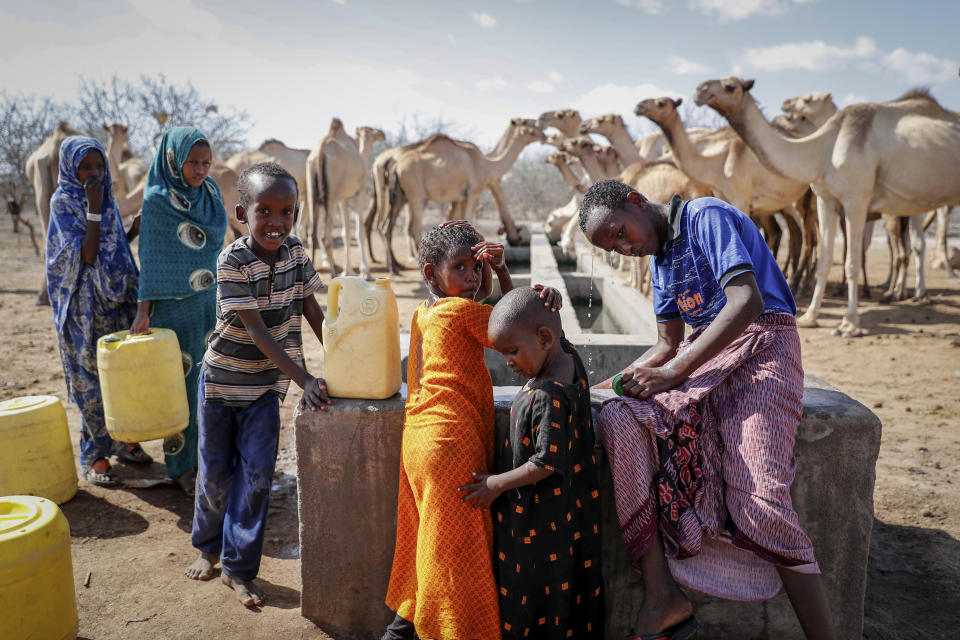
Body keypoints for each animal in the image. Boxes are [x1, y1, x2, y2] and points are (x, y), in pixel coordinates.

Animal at [306, 119, 384, 278]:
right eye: (371, 129)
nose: (382, 133)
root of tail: (321, 151)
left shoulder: (344, 198)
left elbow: (346, 233)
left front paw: (348, 270)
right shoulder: (359, 191)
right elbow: (358, 232)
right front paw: (365, 272)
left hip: (312, 190)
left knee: (312, 233)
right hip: (332, 194)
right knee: (326, 237)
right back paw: (332, 273)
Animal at [382, 125, 548, 276]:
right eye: (530, 127)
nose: (544, 136)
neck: (486, 164)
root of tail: (396, 166)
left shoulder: (460, 197)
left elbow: (455, 220)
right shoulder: (473, 193)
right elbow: (467, 219)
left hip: (399, 196)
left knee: (388, 228)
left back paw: (394, 268)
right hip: (417, 195)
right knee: (414, 229)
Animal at [696, 78, 960, 338]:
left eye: (730, 86)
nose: (700, 90)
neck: (822, 149)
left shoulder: (856, 197)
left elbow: (852, 261)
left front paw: (850, 323)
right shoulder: (826, 199)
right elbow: (825, 258)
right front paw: (810, 317)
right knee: (914, 245)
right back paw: (913, 294)